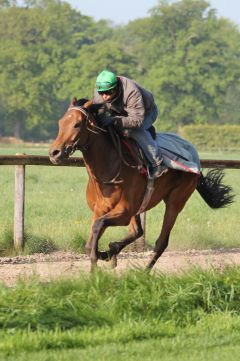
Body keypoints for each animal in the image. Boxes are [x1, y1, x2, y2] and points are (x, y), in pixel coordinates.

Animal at [49, 97, 234, 268]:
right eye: (61, 122)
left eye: (77, 124)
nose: (54, 153)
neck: (110, 168)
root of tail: (194, 154)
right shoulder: (100, 209)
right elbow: (90, 243)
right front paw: (107, 253)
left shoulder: (124, 212)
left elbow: (98, 228)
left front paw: (104, 256)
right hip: (140, 206)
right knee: (138, 231)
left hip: (176, 201)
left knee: (161, 242)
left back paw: (143, 272)